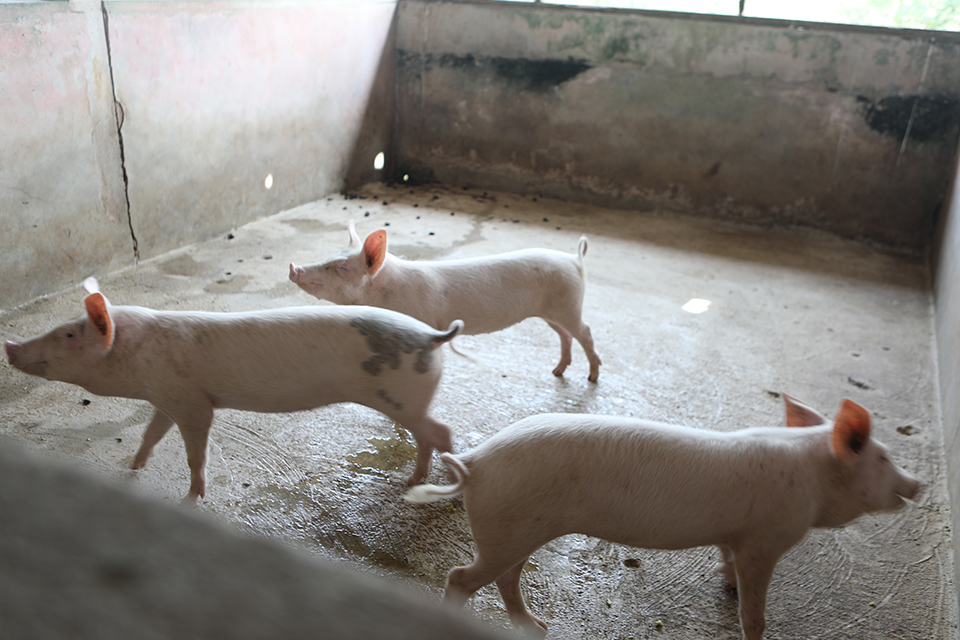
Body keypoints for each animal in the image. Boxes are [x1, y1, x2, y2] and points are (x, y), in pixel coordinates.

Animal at [5, 278, 464, 504]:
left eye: (68, 334)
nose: (9, 344)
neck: (141, 354)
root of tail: (433, 337)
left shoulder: (192, 404)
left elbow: (196, 452)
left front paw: (191, 499)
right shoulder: (167, 396)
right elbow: (151, 433)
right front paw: (134, 466)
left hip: (403, 396)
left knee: (441, 431)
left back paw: (438, 483)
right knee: (427, 434)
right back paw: (414, 479)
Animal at [288, 221, 602, 381]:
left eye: (342, 267)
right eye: (329, 257)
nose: (293, 267)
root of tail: (575, 260)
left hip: (570, 303)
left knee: (585, 332)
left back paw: (592, 377)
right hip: (551, 311)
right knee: (565, 334)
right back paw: (557, 371)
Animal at [405, 396, 922, 640]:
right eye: (882, 458)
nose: (918, 484)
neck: (812, 478)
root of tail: (474, 462)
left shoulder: (737, 534)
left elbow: (727, 560)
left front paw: (726, 582)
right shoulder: (766, 539)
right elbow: (754, 609)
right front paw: (749, 616)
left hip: (516, 529)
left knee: (506, 577)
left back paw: (538, 628)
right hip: (507, 526)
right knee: (461, 576)